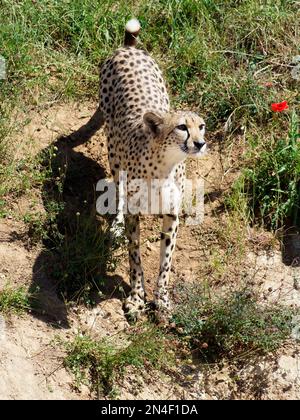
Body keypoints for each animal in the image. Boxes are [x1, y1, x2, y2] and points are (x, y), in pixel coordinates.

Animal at [98, 18, 206, 322]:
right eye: (182, 127)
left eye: (201, 126)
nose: (200, 143)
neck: (163, 166)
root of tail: (129, 48)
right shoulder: (135, 213)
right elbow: (134, 255)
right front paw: (137, 297)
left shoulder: (171, 214)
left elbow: (165, 261)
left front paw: (162, 301)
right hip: (113, 152)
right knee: (118, 190)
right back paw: (115, 225)